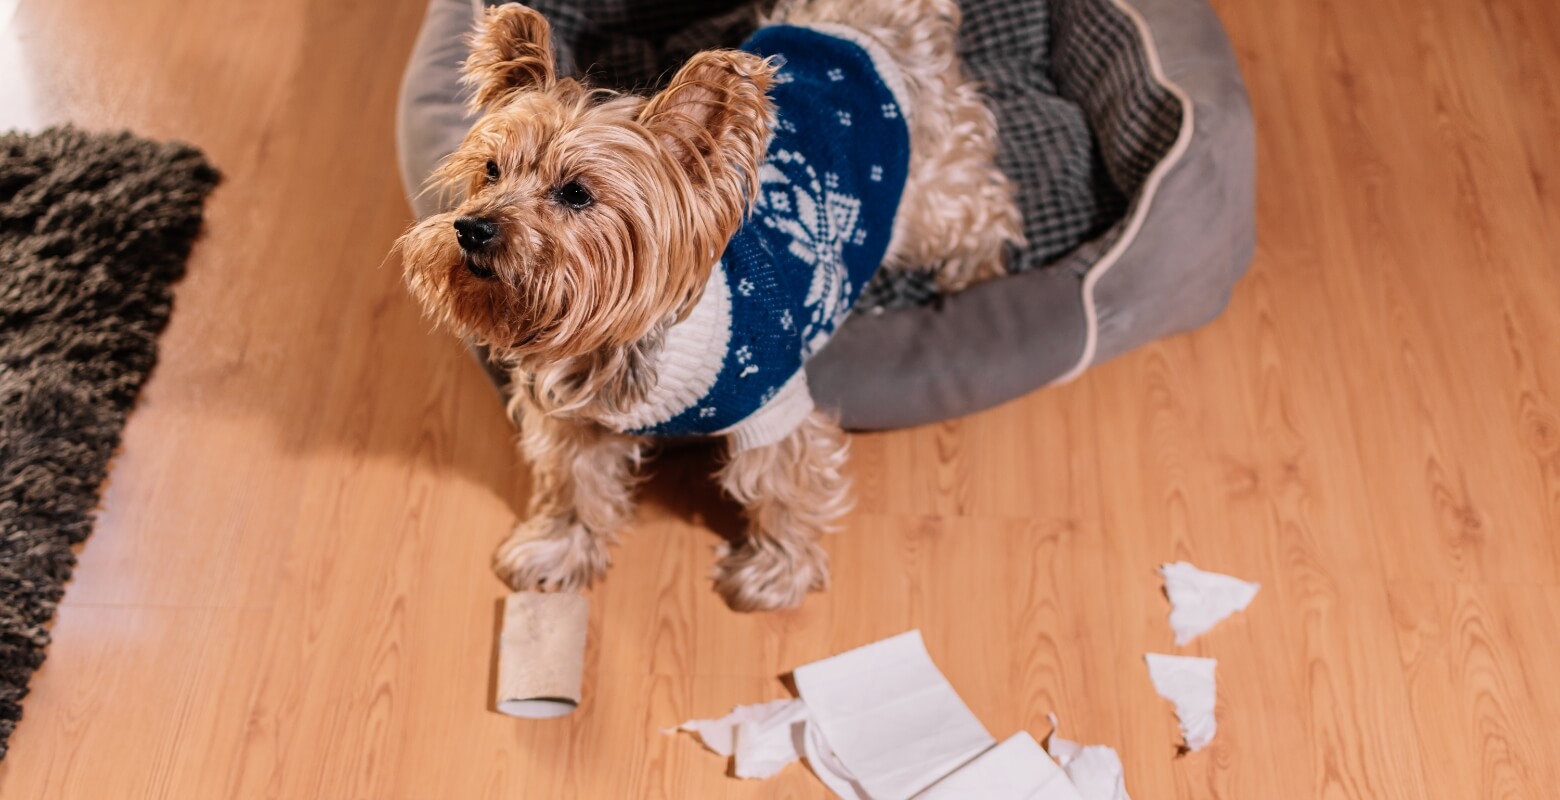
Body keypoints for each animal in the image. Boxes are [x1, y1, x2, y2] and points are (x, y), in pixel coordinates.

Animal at [396, 1, 1017, 611]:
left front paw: (776, 573)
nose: (471, 229)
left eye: (576, 193)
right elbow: (573, 481)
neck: (626, 344)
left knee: (983, 210)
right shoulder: (575, 414)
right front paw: (558, 551)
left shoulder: (770, 400)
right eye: (491, 170)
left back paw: (976, 274)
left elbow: (781, 483)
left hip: (933, 190)